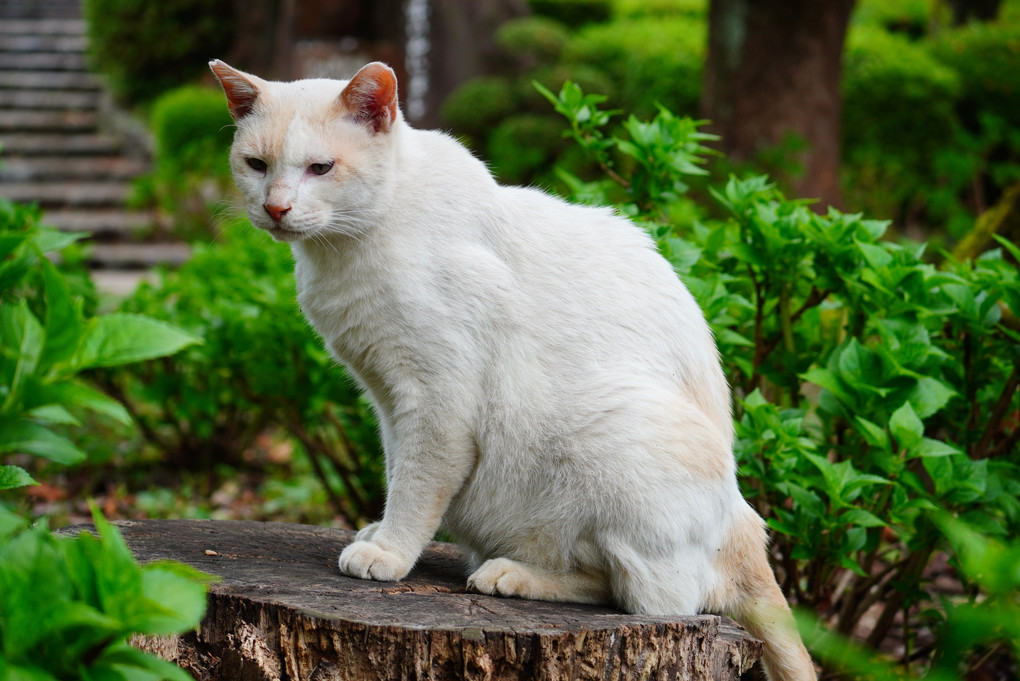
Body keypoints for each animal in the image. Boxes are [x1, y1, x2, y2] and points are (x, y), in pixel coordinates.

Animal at [211, 59, 816, 681]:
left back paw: (509, 574)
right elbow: (395, 470)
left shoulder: (434, 401)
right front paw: (380, 531)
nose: (276, 207)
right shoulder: (387, 400)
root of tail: (744, 522)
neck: (343, 253)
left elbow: (416, 486)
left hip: (616, 434)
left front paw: (389, 551)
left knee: (647, 597)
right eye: (257, 165)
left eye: (320, 168)